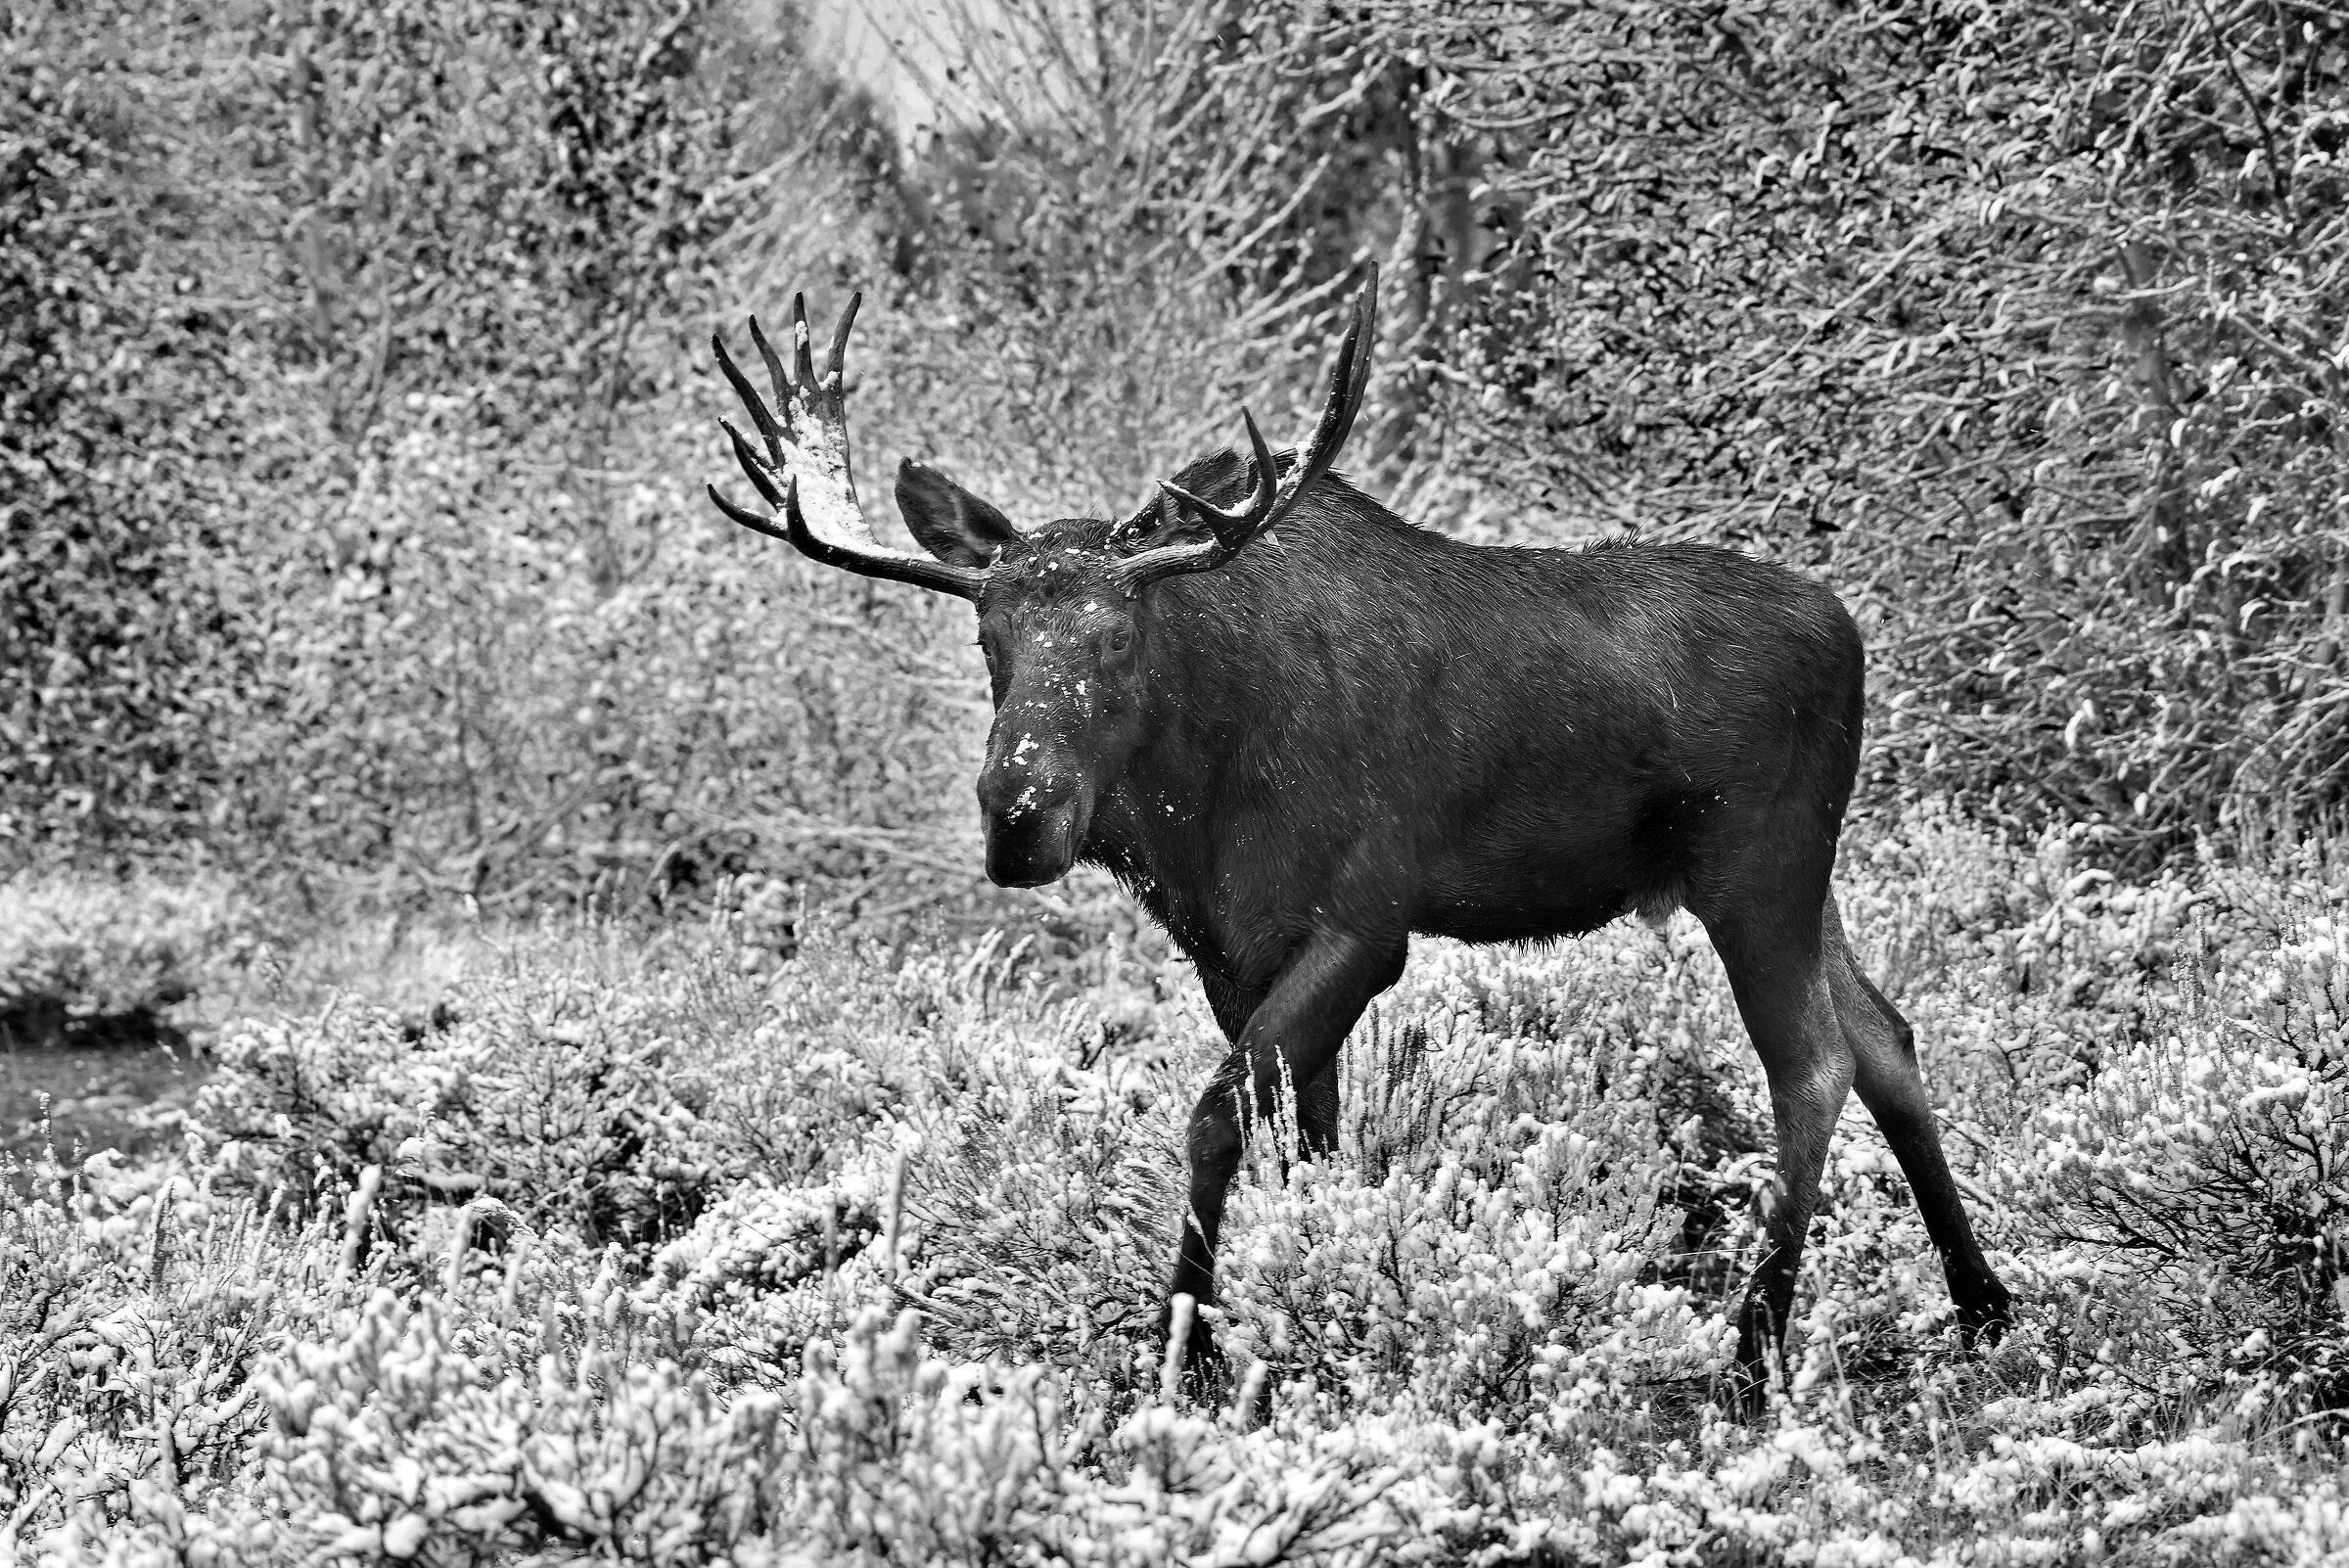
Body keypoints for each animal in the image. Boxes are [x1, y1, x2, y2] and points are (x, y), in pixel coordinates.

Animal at [704, 269, 2012, 1405]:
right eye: (990, 639)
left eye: (1120, 634)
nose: (1019, 814)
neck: (1193, 806)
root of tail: (1850, 632)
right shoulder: (1232, 949)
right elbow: (1310, 1138)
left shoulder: (1362, 925)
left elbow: (1218, 1118)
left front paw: (1191, 1355)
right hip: (1796, 875)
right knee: (1888, 1040)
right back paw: (1981, 1302)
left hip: (1755, 866)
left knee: (1814, 1067)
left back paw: (1752, 1350)